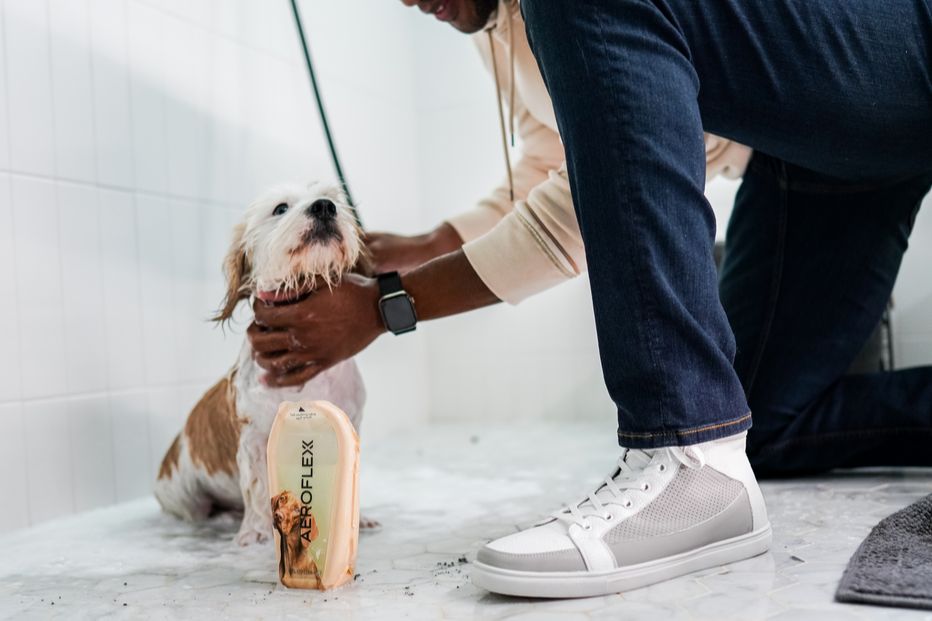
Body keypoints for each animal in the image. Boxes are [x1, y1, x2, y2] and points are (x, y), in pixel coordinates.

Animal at [155, 180, 370, 544]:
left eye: (334, 198)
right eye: (280, 208)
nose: (324, 207)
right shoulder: (254, 439)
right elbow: (256, 488)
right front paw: (256, 533)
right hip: (185, 498)